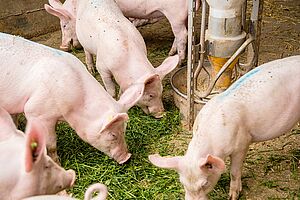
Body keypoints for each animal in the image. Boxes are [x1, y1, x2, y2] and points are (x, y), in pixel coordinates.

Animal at [0, 32, 145, 164]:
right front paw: (57, 164)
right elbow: (50, 145)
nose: (127, 157)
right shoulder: (36, 112)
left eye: (124, 130)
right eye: (113, 135)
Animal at [43, 0, 179, 119]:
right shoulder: (103, 68)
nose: (162, 114)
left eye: (161, 91)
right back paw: (91, 70)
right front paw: (114, 98)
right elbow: (111, 89)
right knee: (87, 52)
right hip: (83, 37)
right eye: (150, 95)